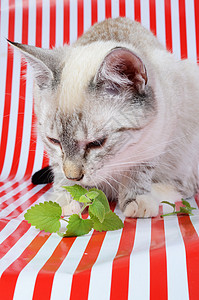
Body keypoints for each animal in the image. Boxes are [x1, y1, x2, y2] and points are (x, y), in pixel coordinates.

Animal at [8, 17, 199, 218]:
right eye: (55, 141)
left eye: (96, 143)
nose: (74, 176)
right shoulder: (54, 154)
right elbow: (59, 171)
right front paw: (67, 199)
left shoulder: (155, 139)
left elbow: (138, 171)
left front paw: (136, 201)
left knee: (187, 185)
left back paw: (158, 193)